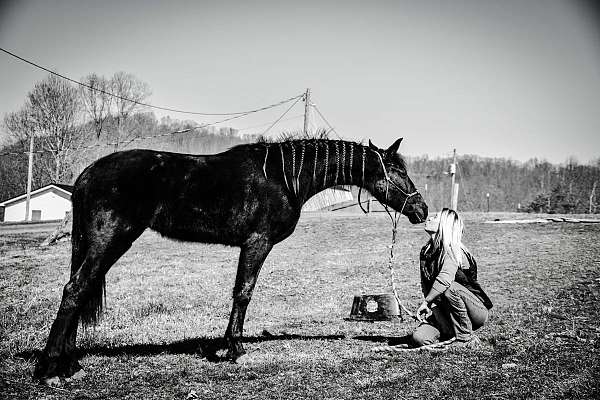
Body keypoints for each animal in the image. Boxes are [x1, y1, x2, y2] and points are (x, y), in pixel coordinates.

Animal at [35, 138, 426, 384]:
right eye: (398, 172)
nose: (421, 210)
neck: (282, 177)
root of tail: (86, 175)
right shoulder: (256, 243)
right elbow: (243, 292)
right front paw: (234, 349)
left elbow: (240, 292)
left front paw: (227, 345)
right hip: (109, 242)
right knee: (75, 290)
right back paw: (50, 369)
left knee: (80, 291)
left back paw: (70, 364)